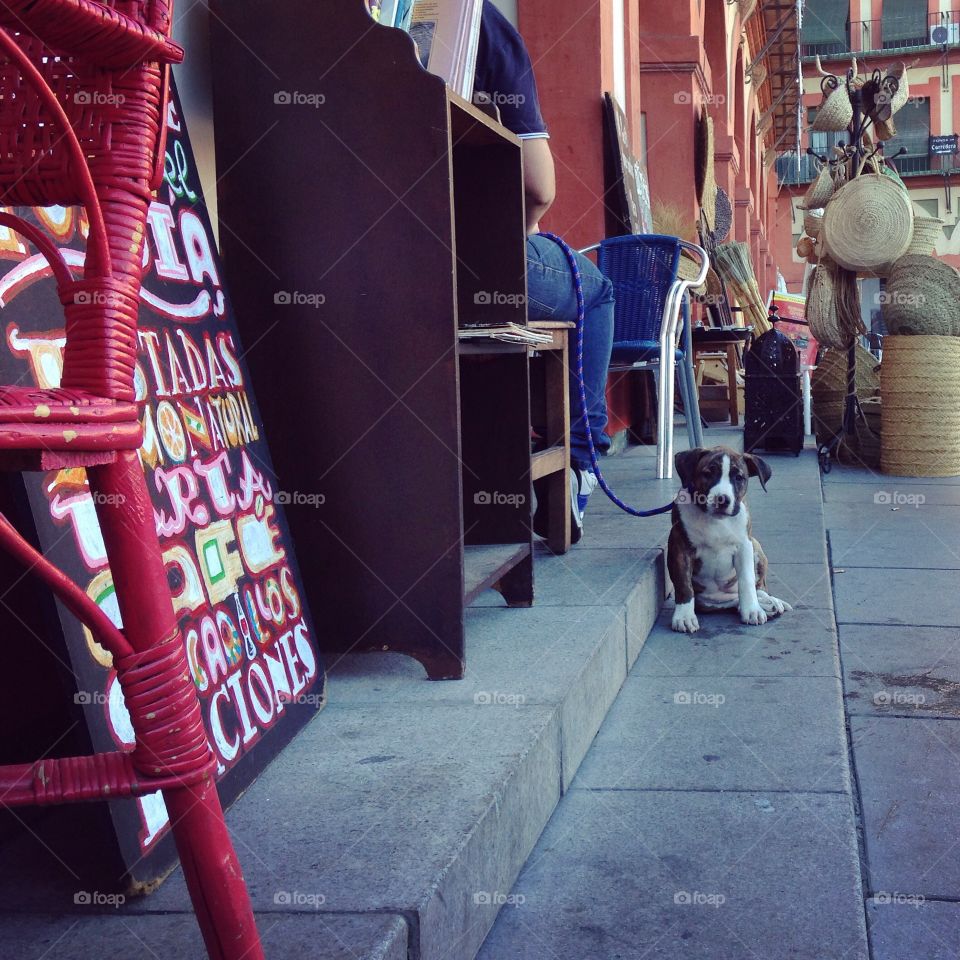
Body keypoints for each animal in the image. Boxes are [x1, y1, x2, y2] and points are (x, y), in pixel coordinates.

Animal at [668, 446, 796, 632]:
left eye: (739, 478)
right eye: (708, 474)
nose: (722, 499)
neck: (715, 520)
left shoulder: (744, 546)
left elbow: (747, 581)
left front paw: (752, 610)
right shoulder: (679, 546)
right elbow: (683, 584)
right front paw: (684, 617)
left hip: (755, 545)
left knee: (758, 587)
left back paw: (768, 602)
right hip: (708, 602)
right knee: (732, 602)